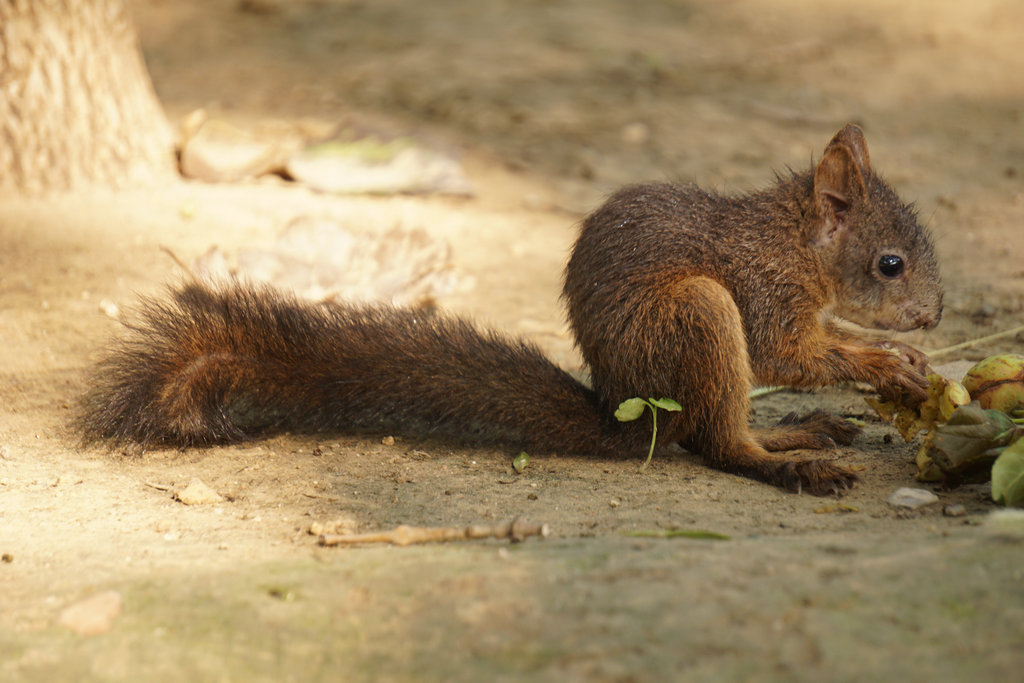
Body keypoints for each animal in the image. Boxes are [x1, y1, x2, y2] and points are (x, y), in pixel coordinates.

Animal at [79, 125, 942, 493]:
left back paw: (804, 429)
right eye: (890, 264)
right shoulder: (760, 290)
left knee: (712, 432)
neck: (795, 243)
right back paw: (791, 463)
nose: (935, 317)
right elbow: (786, 354)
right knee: (717, 443)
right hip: (696, 315)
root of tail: (630, 410)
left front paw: (909, 367)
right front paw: (887, 363)